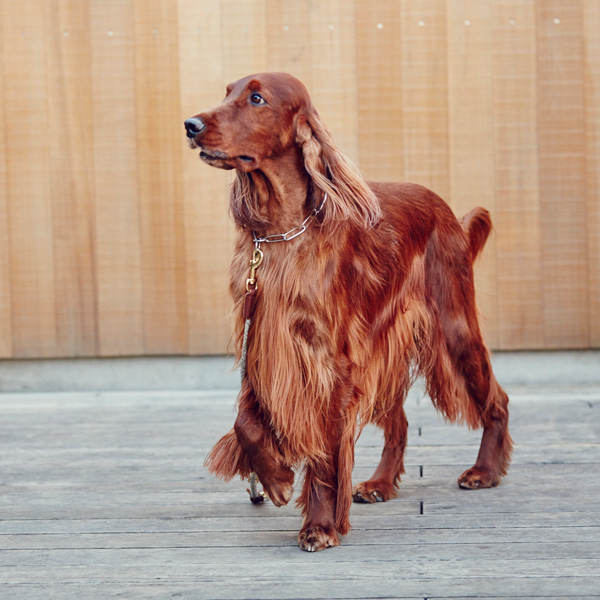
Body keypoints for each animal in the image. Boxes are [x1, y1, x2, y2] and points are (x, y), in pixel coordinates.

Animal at [185, 72, 512, 552]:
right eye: (227, 93)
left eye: (257, 98)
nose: (190, 125)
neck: (282, 234)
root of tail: (446, 210)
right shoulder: (262, 339)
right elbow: (246, 421)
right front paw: (276, 478)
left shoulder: (332, 363)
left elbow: (325, 456)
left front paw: (320, 525)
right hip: (384, 347)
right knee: (399, 422)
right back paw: (380, 483)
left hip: (455, 328)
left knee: (496, 399)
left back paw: (484, 471)